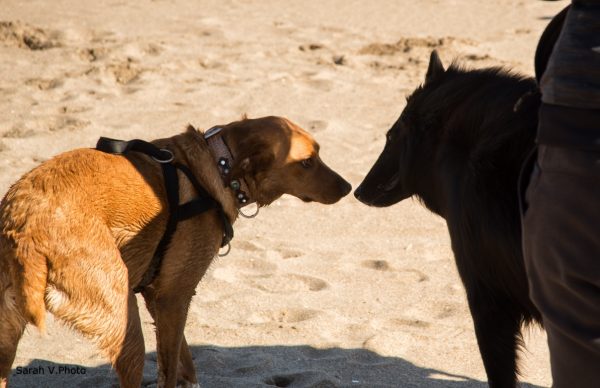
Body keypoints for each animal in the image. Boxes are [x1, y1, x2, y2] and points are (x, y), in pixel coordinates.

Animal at [0, 116, 352, 388]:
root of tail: (25, 228)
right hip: (125, 327)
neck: (219, 165)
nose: (348, 187)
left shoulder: (160, 295)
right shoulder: (173, 295)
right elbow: (169, 367)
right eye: (307, 162)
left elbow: (184, 356)